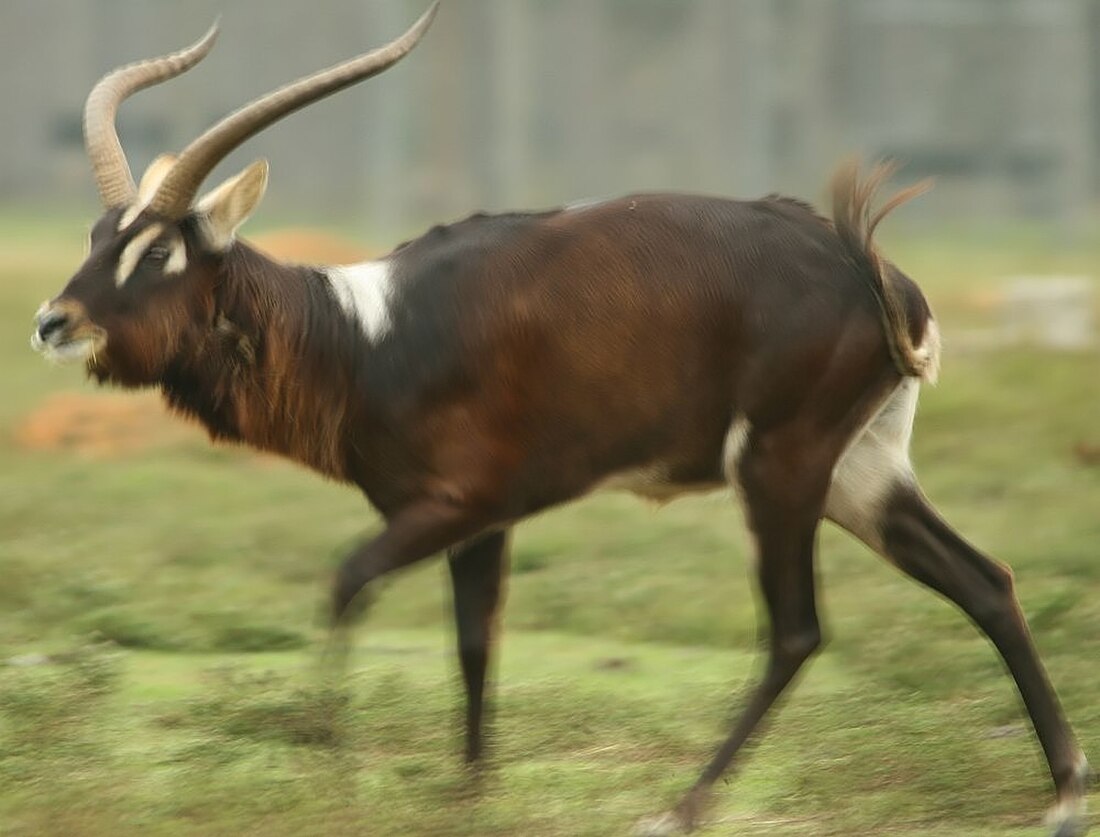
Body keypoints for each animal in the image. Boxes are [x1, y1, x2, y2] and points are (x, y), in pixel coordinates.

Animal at [32, 6, 1091, 835]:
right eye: (98, 236)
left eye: (159, 251)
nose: (52, 321)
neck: (368, 333)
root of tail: (875, 273)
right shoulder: (479, 525)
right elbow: (474, 643)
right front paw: (467, 798)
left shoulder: (450, 506)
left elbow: (345, 585)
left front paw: (329, 779)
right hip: (860, 475)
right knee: (983, 579)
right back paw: (1062, 797)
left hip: (780, 468)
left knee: (797, 630)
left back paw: (676, 809)